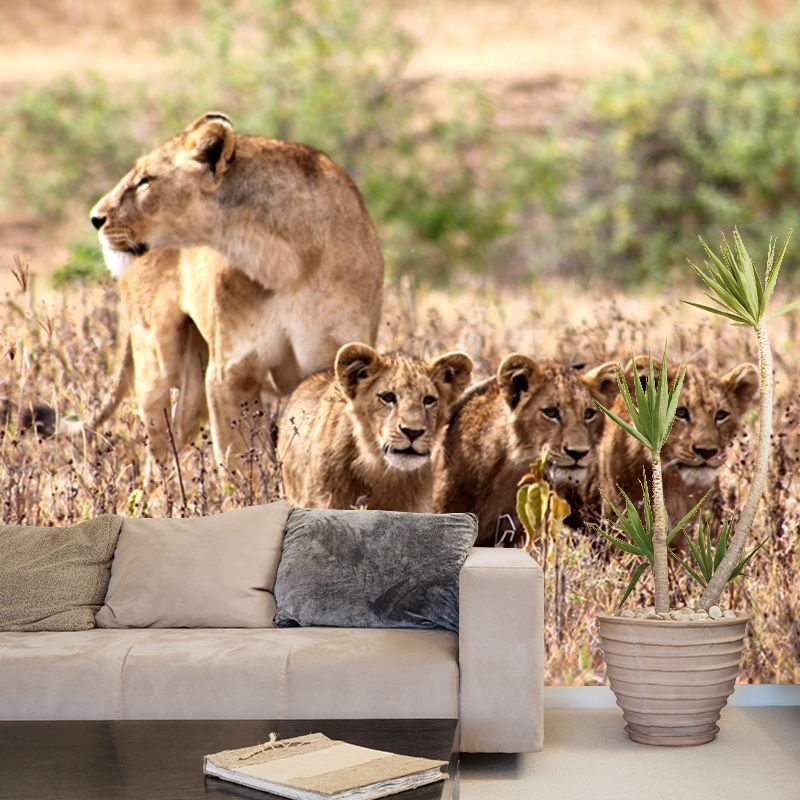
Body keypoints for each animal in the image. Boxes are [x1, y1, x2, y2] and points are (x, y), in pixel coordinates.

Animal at [89, 112, 384, 471]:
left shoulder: (333, 363)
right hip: (156, 358)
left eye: (145, 180)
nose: (95, 218)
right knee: (157, 454)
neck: (285, 262)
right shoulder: (230, 373)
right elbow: (241, 464)